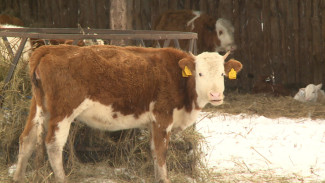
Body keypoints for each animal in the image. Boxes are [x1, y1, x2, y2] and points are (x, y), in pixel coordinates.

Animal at [12, 44, 240, 183]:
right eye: (200, 73)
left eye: (222, 74)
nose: (215, 95)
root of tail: (51, 49)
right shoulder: (162, 116)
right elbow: (161, 152)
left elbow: (154, 151)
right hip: (63, 111)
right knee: (53, 144)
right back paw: (62, 178)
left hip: (39, 106)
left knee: (27, 139)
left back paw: (18, 177)